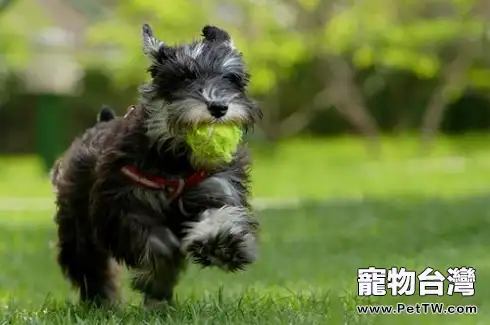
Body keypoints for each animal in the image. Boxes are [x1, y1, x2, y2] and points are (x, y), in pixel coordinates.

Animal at [51, 24, 262, 306]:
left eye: (231, 77)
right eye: (184, 77)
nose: (218, 107)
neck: (175, 160)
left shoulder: (216, 188)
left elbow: (220, 214)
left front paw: (222, 244)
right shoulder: (124, 207)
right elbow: (157, 245)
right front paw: (159, 277)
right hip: (78, 228)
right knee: (90, 267)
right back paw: (103, 303)